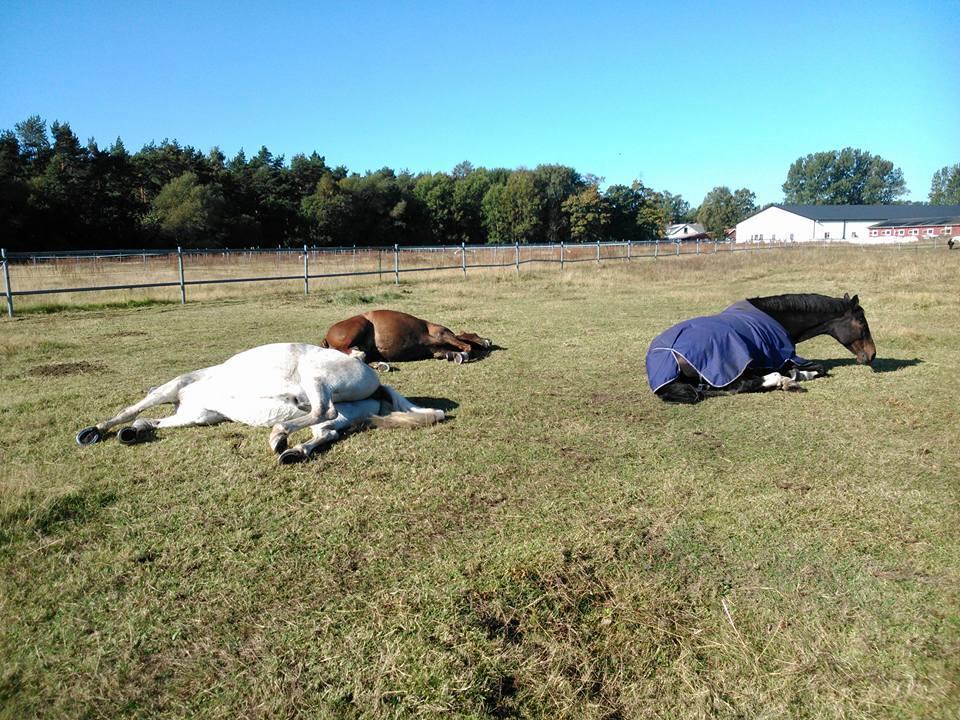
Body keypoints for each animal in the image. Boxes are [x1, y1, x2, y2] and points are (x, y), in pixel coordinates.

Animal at [77, 344, 448, 466]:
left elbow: (132, 410)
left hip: (315, 378)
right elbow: (155, 422)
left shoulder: (175, 389)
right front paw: (133, 432)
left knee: (321, 410)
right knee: (325, 431)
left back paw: (279, 435)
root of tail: (376, 380)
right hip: (338, 414)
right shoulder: (199, 416)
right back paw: (292, 451)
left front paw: (94, 431)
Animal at [322, 308, 492, 368]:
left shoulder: (438, 351)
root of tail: (326, 335)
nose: (488, 341)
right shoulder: (443, 335)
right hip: (360, 324)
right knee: (346, 350)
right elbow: (467, 347)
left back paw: (379, 364)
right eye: (477, 334)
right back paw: (359, 353)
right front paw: (464, 354)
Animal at [644, 292, 876, 404]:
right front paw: (794, 376)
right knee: (740, 386)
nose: (872, 354)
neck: (777, 318)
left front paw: (796, 374)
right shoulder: (780, 357)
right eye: (862, 323)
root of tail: (667, 353)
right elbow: (818, 368)